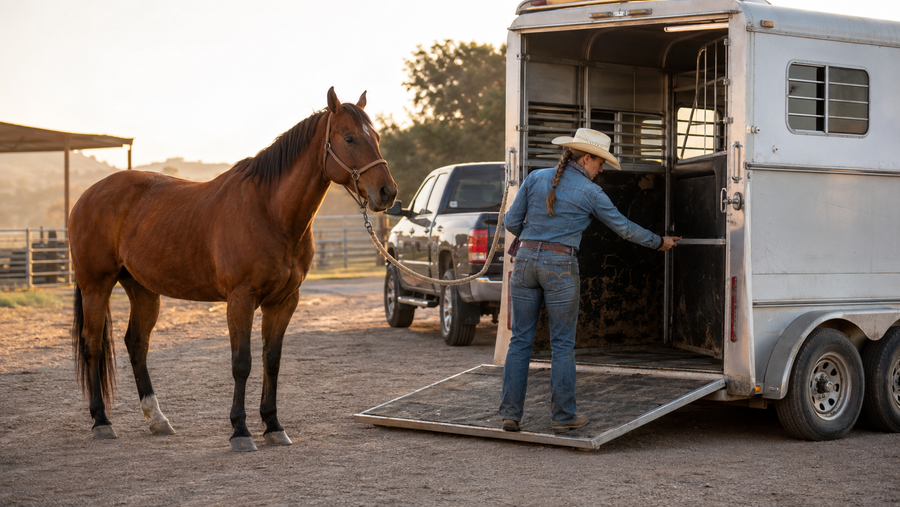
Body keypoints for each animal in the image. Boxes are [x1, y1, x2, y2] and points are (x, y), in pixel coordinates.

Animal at [68, 87, 397, 451]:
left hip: (142, 290)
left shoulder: (284, 302)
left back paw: (157, 419)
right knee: (93, 346)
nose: (387, 192)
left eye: (377, 137)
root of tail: (87, 196)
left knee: (136, 344)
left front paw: (273, 425)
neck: (269, 210)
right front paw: (240, 430)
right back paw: (101, 421)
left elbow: (271, 361)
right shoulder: (240, 300)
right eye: (349, 138)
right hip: (96, 286)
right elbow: (242, 363)